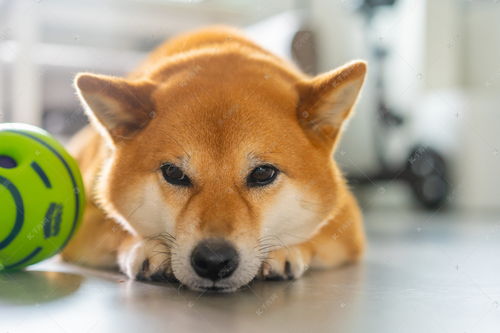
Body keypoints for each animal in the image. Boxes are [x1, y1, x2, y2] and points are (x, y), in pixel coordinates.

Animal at [62, 26, 368, 290]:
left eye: (263, 173)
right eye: (173, 173)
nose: (213, 260)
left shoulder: (347, 225)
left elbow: (316, 235)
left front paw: (287, 250)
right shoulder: (83, 221)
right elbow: (114, 228)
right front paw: (145, 245)